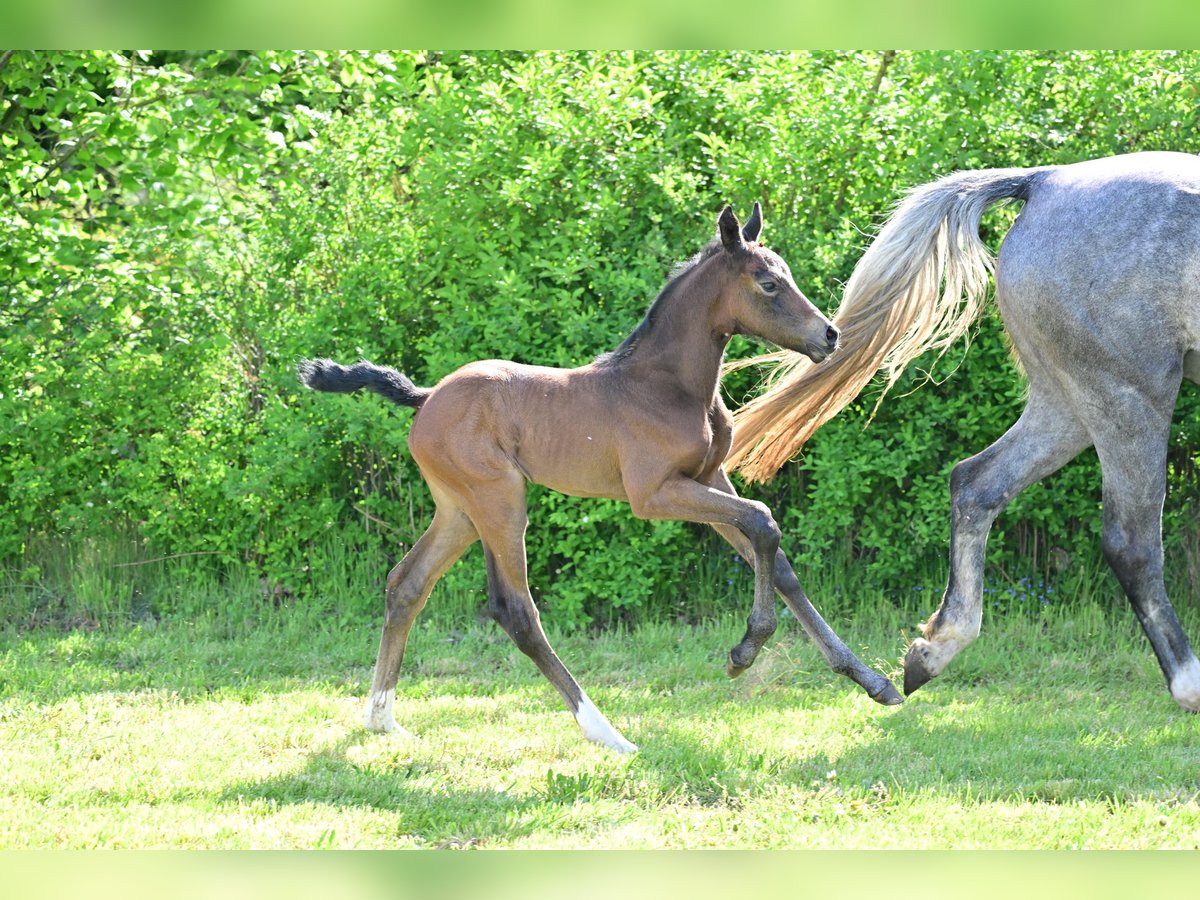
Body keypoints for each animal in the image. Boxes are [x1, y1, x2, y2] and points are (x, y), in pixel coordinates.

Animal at [300, 206, 902, 753]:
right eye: (769, 283)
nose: (830, 335)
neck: (665, 386)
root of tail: (425, 398)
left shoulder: (711, 477)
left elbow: (777, 562)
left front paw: (873, 681)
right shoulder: (655, 494)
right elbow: (764, 521)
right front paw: (744, 652)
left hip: (458, 511)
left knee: (407, 584)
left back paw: (382, 720)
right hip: (499, 499)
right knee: (515, 610)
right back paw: (607, 733)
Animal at [729, 151, 1200, 715]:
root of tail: (1046, 181)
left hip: (1068, 402)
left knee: (976, 483)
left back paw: (933, 651)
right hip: (1129, 393)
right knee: (1131, 541)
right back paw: (1190, 684)